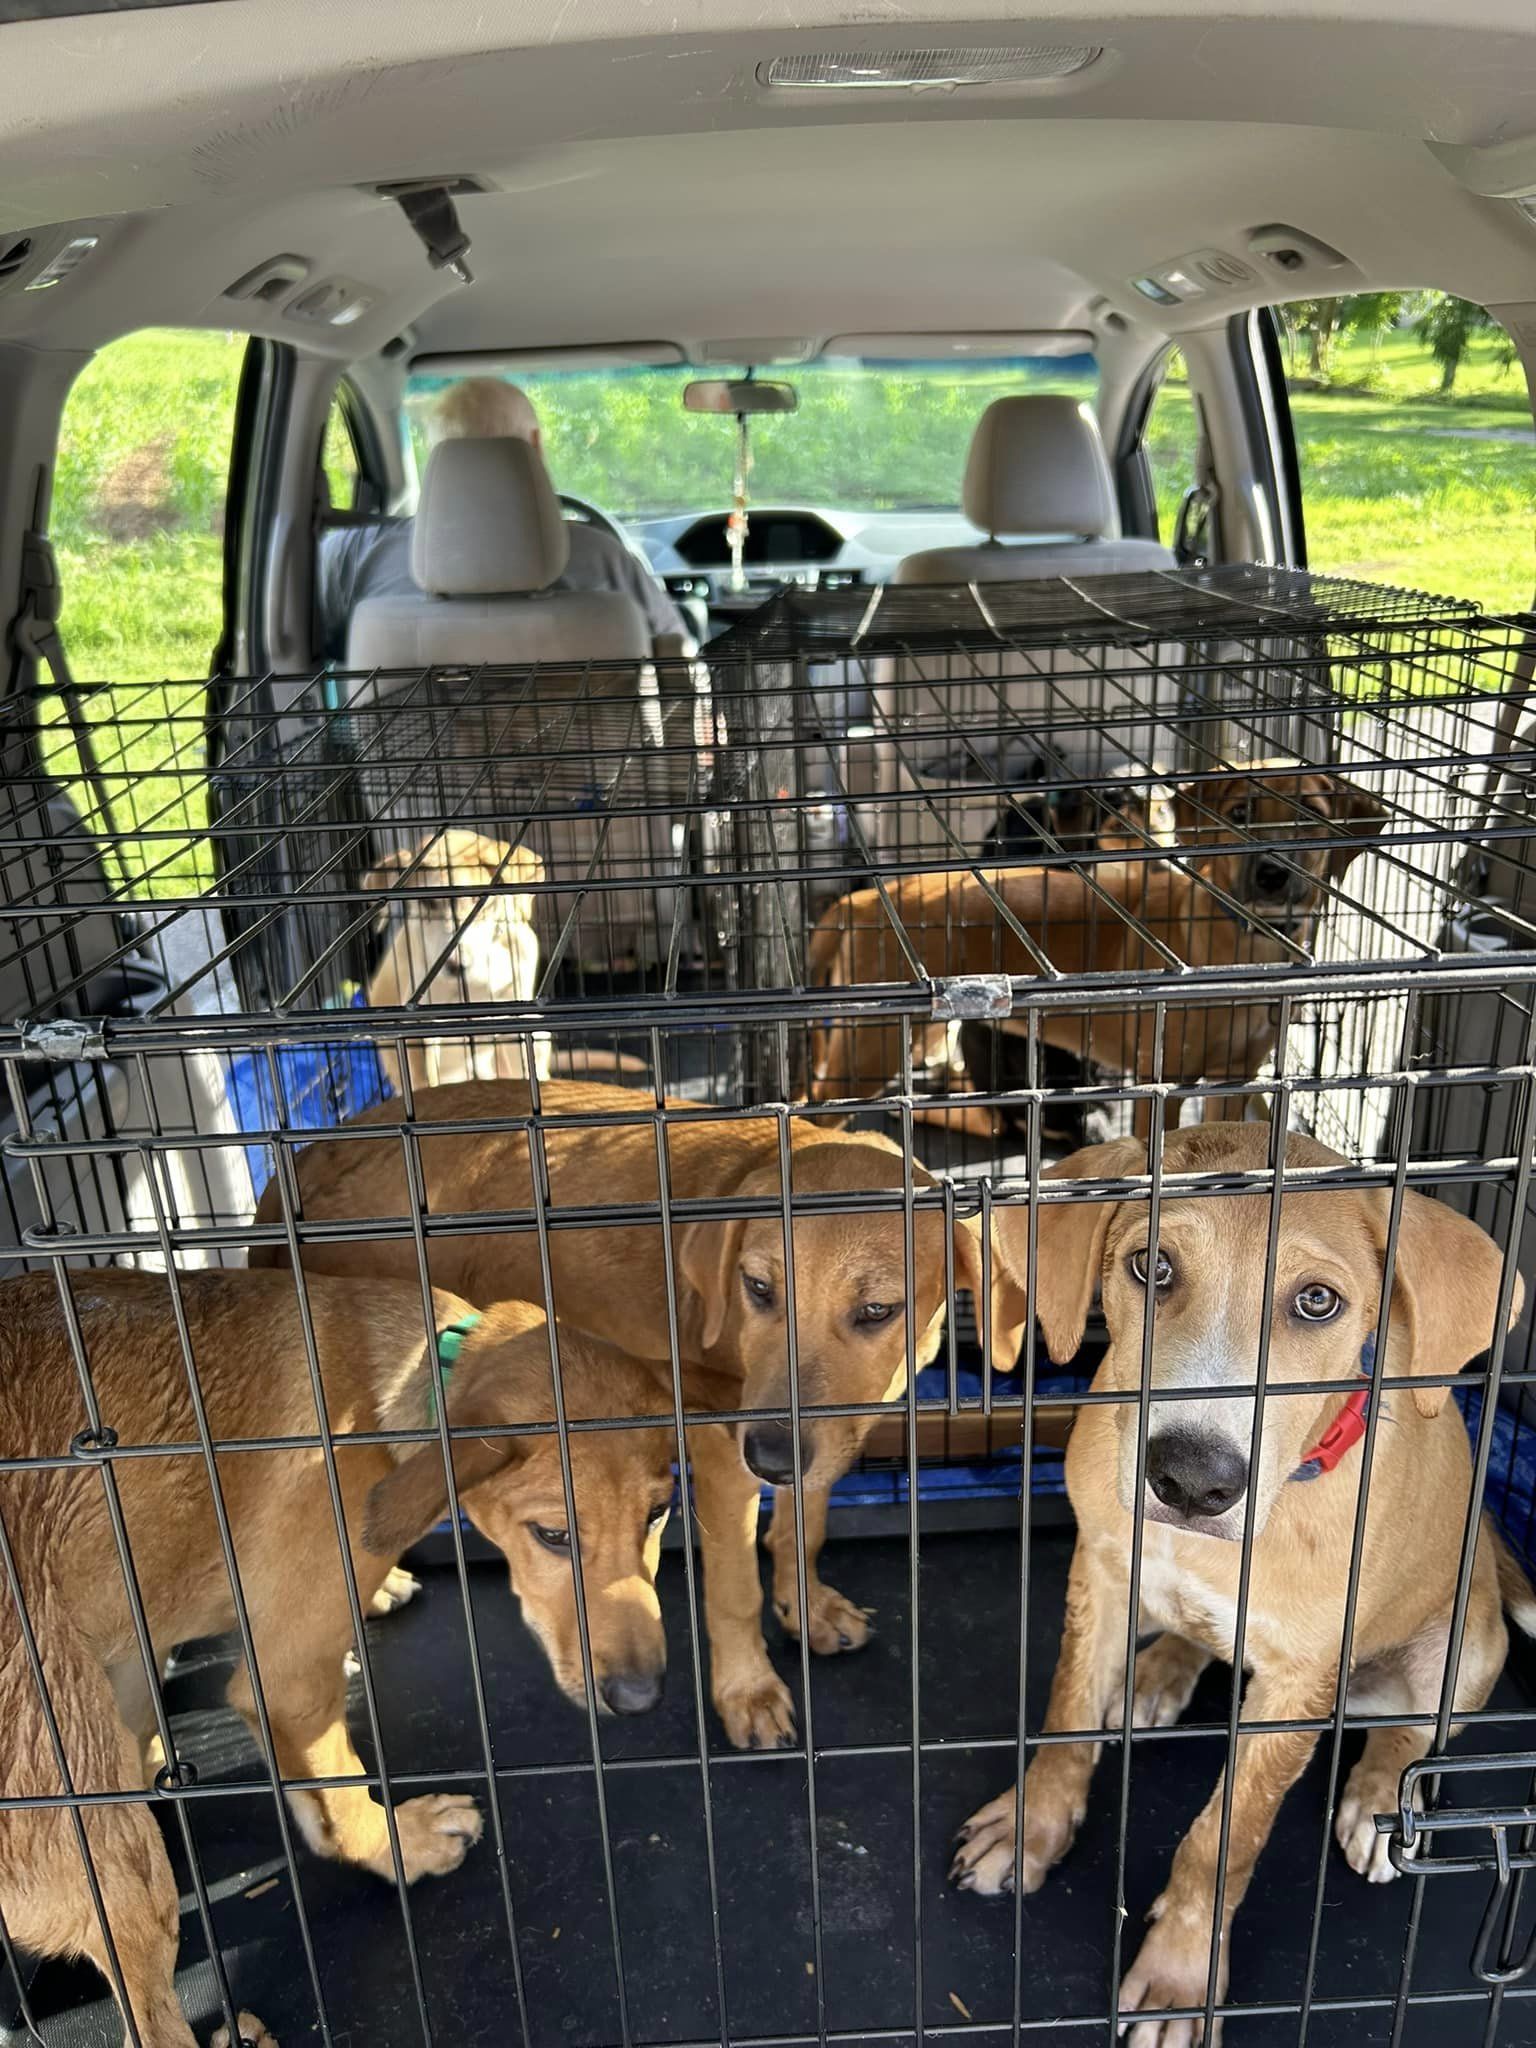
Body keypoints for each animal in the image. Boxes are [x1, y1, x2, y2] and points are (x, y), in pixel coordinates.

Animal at [0, 1261, 671, 2048]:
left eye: (658, 1514)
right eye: (554, 1535)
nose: (640, 1699)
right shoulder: (286, 1680)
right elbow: (342, 1793)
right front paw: (399, 1845)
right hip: (93, 1818)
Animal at [249, 1081, 1024, 1753]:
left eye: (877, 1311)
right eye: (757, 1288)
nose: (770, 1459)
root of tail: (300, 1162)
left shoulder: (825, 1436)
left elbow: (803, 1528)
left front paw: (805, 1606)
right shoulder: (722, 1449)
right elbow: (734, 1589)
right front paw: (748, 1691)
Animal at [811, 761, 1392, 1130]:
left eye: (1312, 814)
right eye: (1240, 814)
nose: (1271, 874)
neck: (1245, 946)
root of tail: (860, 902)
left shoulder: (1233, 1078)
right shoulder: (1163, 1082)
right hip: (870, 1048)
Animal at [950, 1130, 1531, 2039]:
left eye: (1318, 1302)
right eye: (1151, 1265)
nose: (1192, 1481)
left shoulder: (1297, 1686)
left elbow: (1226, 1838)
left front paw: (1181, 1976)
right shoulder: (1100, 1574)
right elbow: (1067, 1718)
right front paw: (1030, 1828)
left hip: (1463, 1646)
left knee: (1413, 1735)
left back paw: (1378, 1803)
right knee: (1200, 1640)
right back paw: (1156, 1673)